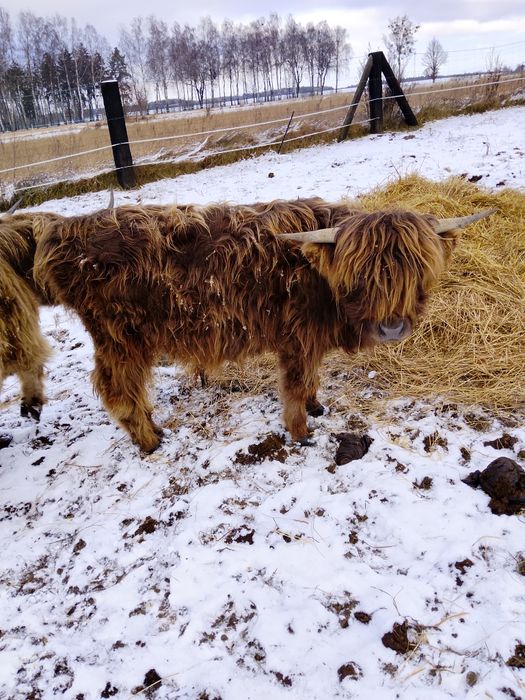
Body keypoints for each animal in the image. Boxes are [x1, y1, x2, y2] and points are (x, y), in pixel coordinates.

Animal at [33, 198, 494, 451]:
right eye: (361, 275)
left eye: (417, 270)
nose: (392, 328)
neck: (317, 274)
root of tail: (64, 233)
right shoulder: (297, 336)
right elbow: (295, 383)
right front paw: (301, 430)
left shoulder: (311, 338)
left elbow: (311, 378)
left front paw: (316, 406)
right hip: (120, 338)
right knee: (117, 389)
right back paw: (150, 439)